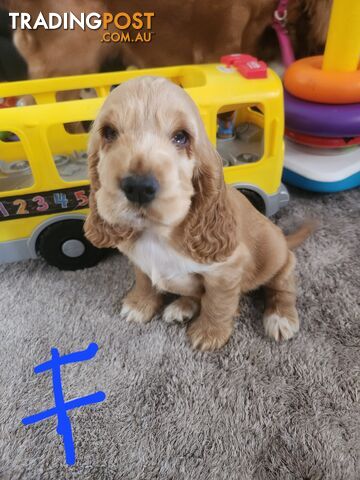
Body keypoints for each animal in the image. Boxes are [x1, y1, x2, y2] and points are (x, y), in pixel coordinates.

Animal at [85, 77, 312, 350]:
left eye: (181, 137)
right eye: (109, 133)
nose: (138, 187)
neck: (158, 232)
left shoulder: (226, 272)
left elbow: (217, 303)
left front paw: (209, 334)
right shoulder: (139, 260)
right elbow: (145, 281)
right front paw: (139, 305)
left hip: (277, 256)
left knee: (283, 283)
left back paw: (280, 317)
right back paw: (181, 307)